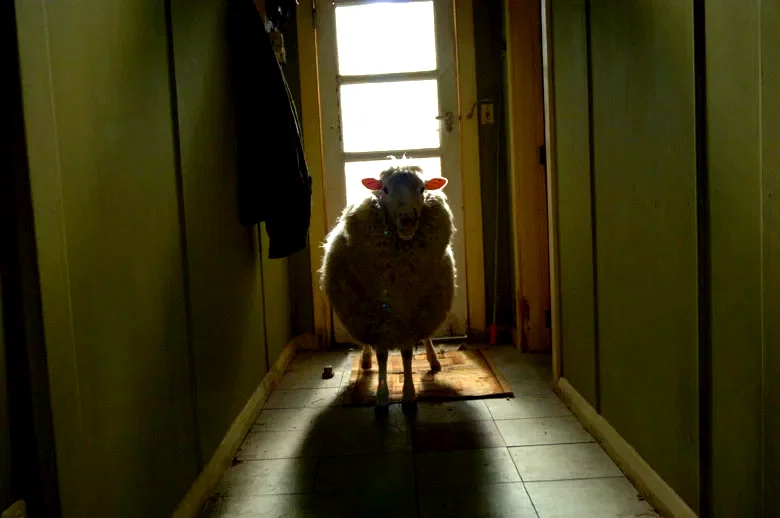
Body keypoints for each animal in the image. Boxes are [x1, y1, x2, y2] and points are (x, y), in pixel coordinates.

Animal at [319, 164, 457, 407]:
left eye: (422, 189)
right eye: (384, 189)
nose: (407, 220)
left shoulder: (412, 315)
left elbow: (407, 354)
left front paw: (409, 394)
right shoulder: (376, 317)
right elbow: (382, 355)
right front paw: (382, 396)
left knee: (425, 337)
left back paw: (433, 361)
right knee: (367, 345)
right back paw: (365, 360)